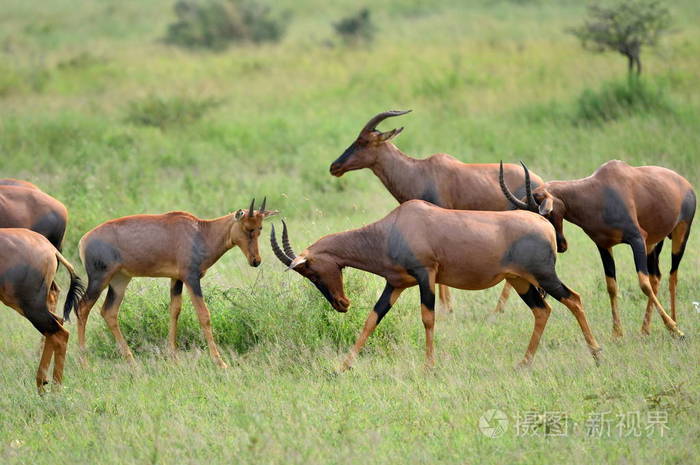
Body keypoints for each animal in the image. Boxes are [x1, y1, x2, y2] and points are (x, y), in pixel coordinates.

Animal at [0, 228, 84, 392]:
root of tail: (50, 249)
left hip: (31, 307)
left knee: (59, 333)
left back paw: (51, 389)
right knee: (56, 325)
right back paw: (43, 383)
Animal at [74, 198, 276, 368]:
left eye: (260, 228)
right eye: (247, 228)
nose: (255, 261)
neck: (200, 232)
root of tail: (83, 241)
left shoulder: (176, 279)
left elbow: (175, 311)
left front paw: (173, 357)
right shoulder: (191, 278)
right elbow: (204, 315)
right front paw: (220, 363)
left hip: (120, 280)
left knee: (109, 312)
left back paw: (132, 361)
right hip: (99, 279)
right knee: (82, 308)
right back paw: (84, 363)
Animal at [270, 200, 600, 370]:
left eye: (311, 272)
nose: (342, 304)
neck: (395, 226)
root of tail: (545, 224)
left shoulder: (425, 275)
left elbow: (428, 318)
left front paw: (429, 366)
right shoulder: (396, 284)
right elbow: (372, 319)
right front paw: (343, 367)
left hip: (544, 276)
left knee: (574, 299)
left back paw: (597, 354)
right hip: (519, 281)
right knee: (542, 311)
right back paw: (524, 363)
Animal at [328, 109, 548, 312]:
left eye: (363, 141)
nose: (334, 166)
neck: (420, 172)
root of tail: (540, 182)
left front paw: (446, 308)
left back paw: (499, 309)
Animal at [500, 160, 692, 338]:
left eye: (546, 213)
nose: (561, 245)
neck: (598, 192)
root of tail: (685, 183)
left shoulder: (637, 239)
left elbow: (643, 284)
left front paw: (675, 329)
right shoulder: (603, 246)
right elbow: (611, 286)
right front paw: (616, 334)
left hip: (680, 234)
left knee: (672, 276)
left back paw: (675, 325)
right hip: (653, 243)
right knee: (656, 277)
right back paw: (645, 330)